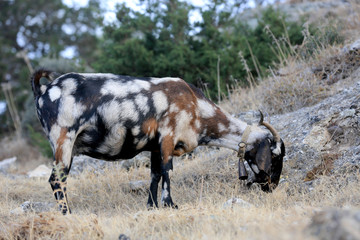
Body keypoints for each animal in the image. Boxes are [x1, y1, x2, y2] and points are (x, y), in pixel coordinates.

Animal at [31, 69, 284, 214]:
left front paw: (151, 206)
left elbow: (153, 175)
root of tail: (44, 89)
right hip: (63, 138)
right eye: (275, 154)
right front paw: (170, 204)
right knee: (56, 179)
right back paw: (67, 213)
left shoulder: (154, 145)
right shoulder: (167, 137)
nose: (272, 186)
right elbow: (166, 171)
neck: (195, 106)